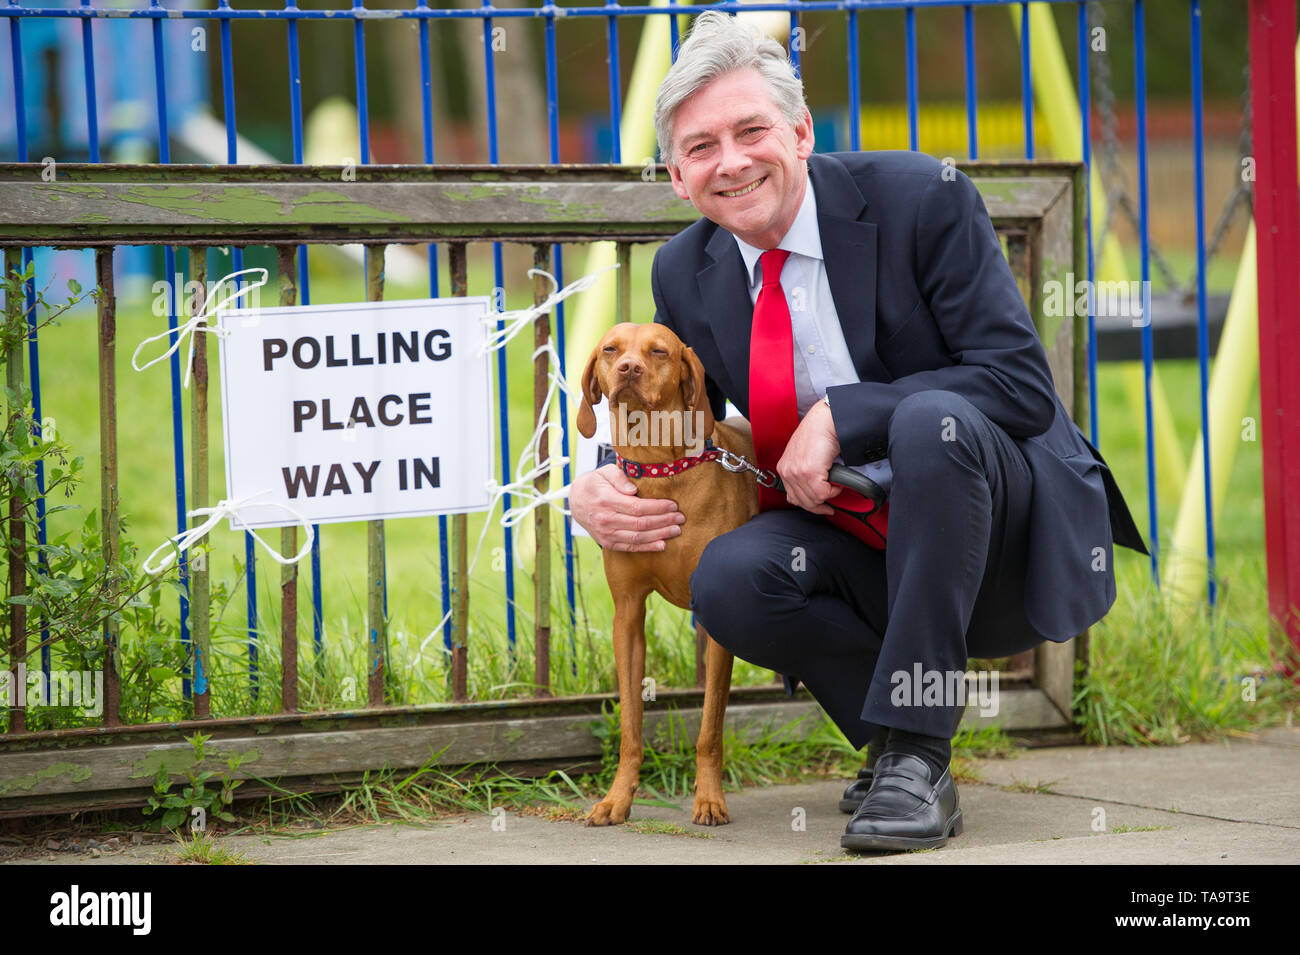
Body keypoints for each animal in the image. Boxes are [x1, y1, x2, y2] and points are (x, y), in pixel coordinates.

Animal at [579, 323, 759, 831]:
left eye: (659, 351)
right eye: (611, 349)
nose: (628, 369)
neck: (661, 466)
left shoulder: (716, 629)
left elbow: (709, 730)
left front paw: (710, 799)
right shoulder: (627, 617)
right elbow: (631, 726)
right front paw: (616, 799)